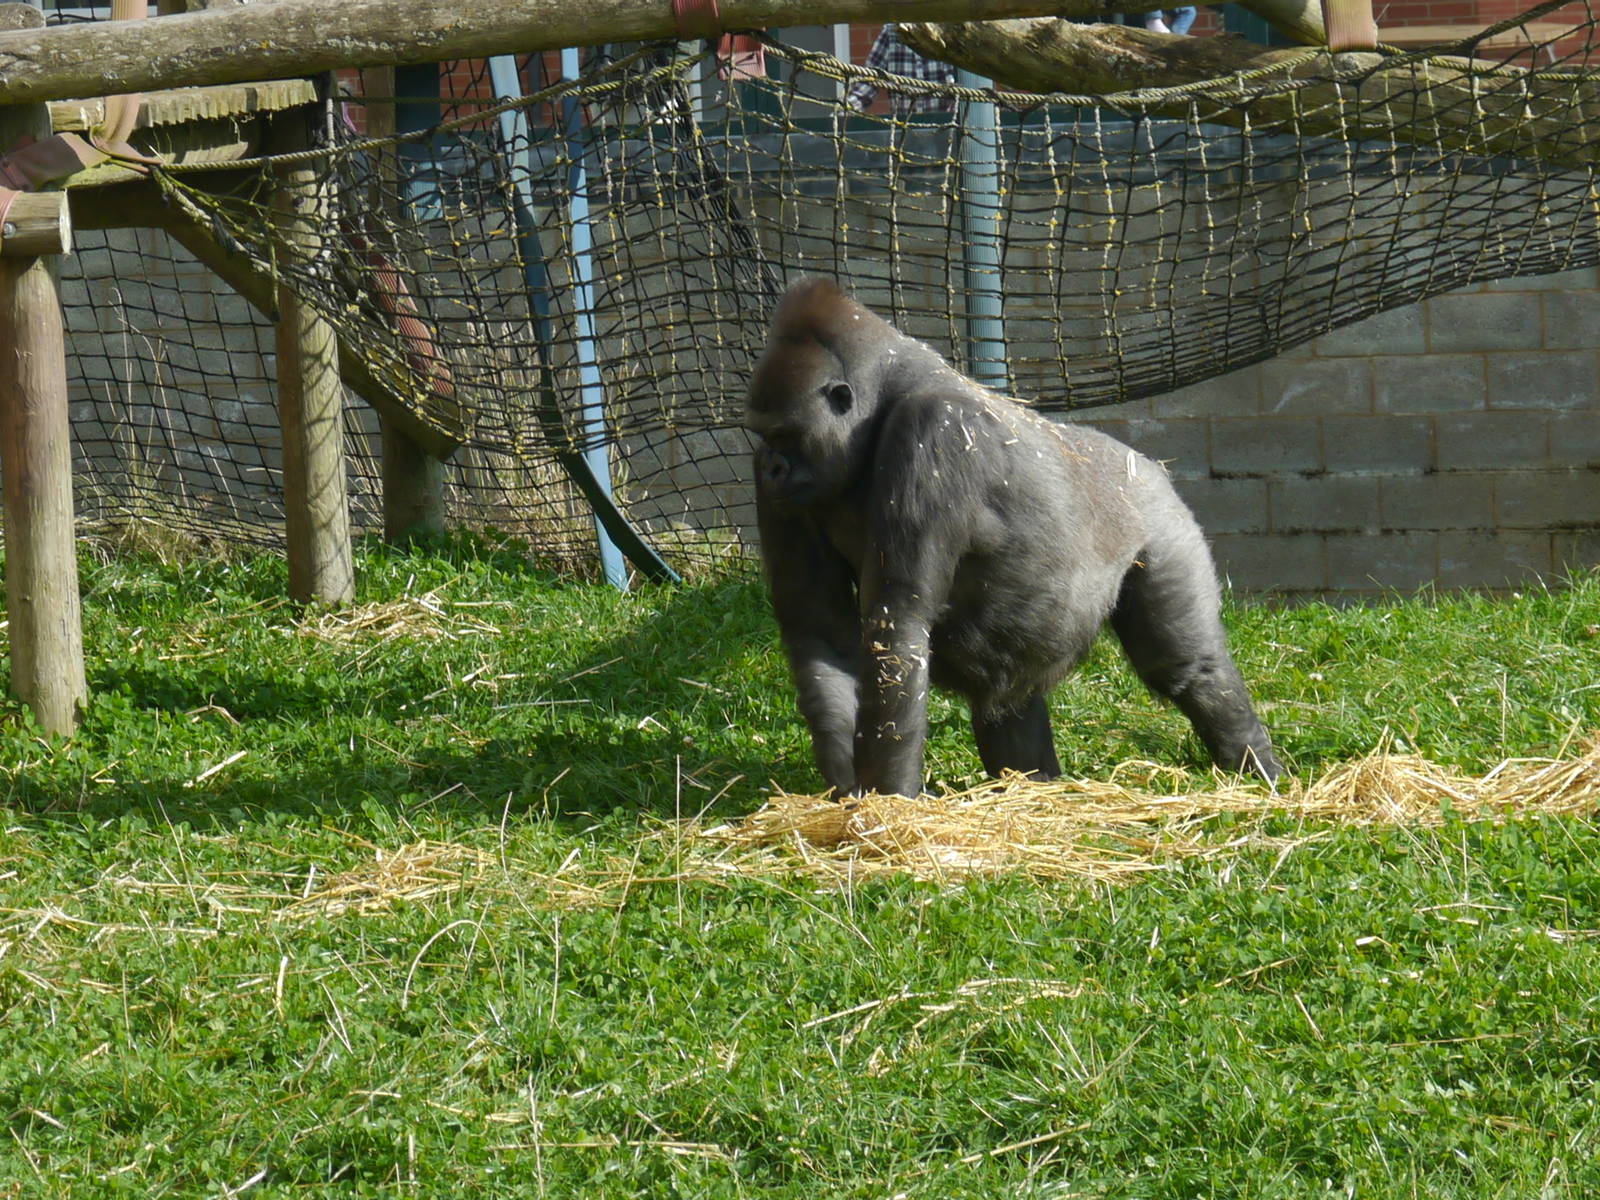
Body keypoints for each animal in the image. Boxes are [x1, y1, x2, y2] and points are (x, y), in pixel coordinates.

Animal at [746, 277, 1282, 797]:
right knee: (1009, 697)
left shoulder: (936, 429)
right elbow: (820, 628)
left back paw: (1255, 763)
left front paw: (889, 800)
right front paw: (846, 787)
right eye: (764, 436)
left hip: (1163, 521)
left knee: (1185, 664)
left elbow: (898, 625)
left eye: (786, 435)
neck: (879, 406)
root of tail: (1151, 465)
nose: (771, 467)